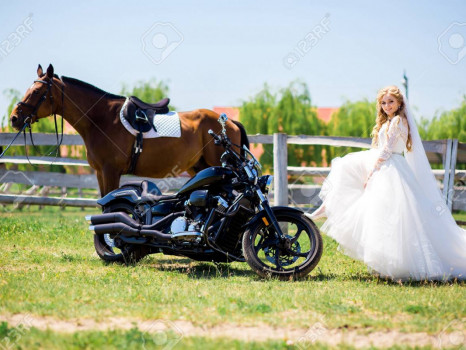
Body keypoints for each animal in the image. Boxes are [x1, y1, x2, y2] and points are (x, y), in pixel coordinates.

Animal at [10, 64, 248, 196]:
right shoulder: (100, 172)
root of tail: (230, 122)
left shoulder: (111, 171)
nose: (14, 118)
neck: (101, 119)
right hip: (199, 167)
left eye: (37, 91)